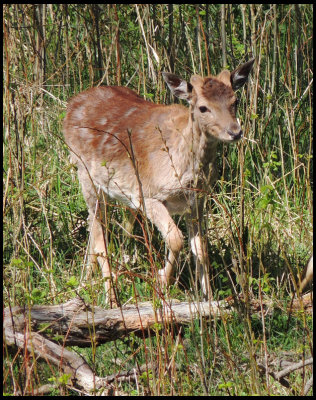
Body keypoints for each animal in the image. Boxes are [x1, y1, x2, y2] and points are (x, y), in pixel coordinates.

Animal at [63, 58, 254, 304]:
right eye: (203, 107)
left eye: (235, 101)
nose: (235, 132)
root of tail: (70, 105)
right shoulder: (147, 194)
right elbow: (175, 239)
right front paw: (162, 280)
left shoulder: (197, 203)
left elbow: (201, 248)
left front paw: (208, 298)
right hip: (84, 172)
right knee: (99, 233)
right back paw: (111, 297)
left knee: (95, 224)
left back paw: (86, 280)